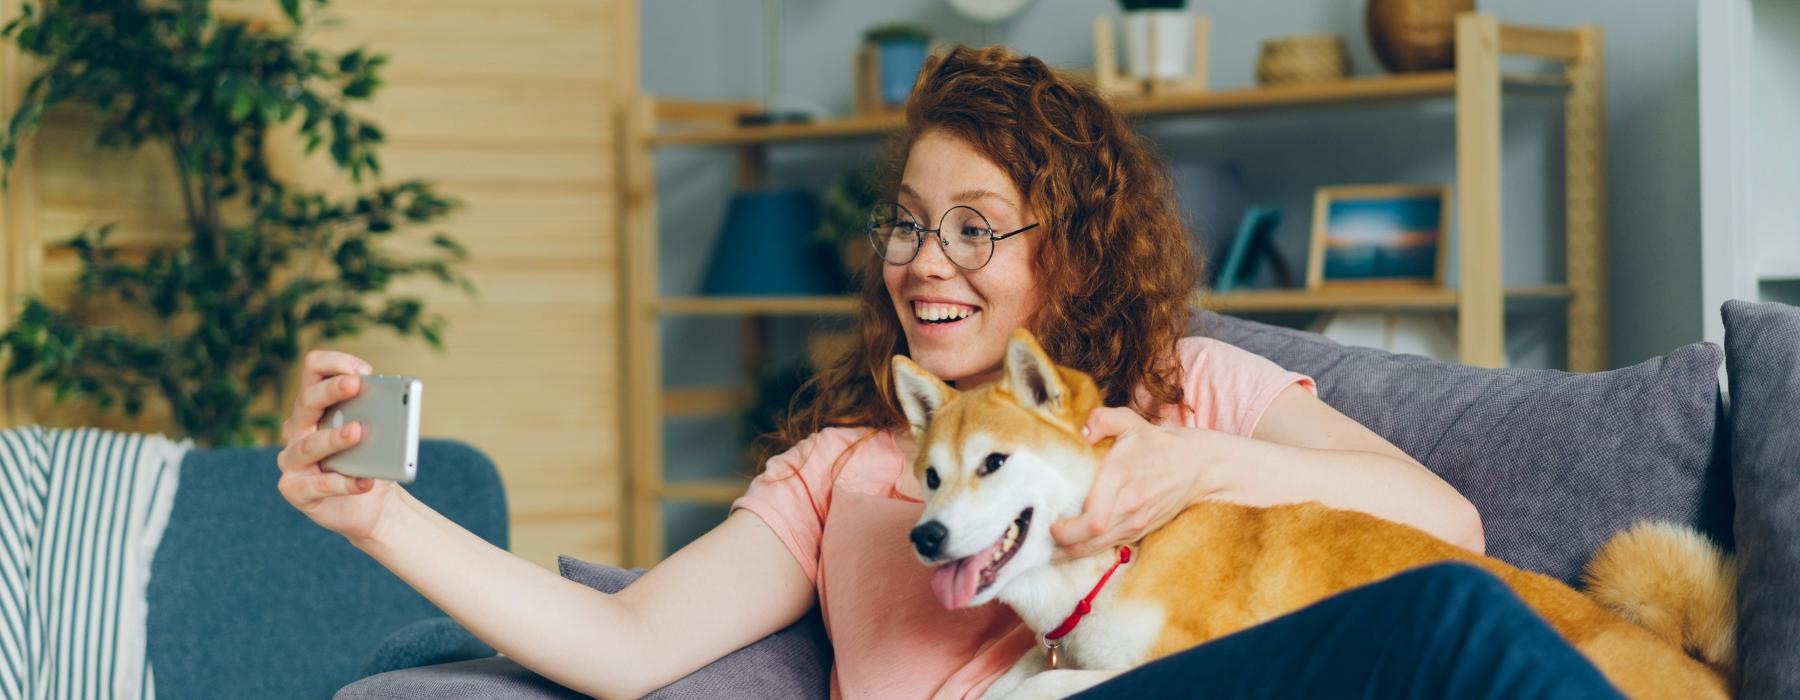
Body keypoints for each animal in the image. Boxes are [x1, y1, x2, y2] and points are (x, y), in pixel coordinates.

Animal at [900, 329, 1742, 698]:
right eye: (931, 477)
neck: (1118, 563)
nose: (925, 536)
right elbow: (1013, 684)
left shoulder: (1189, 655)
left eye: (994, 463)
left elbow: (1042, 690)